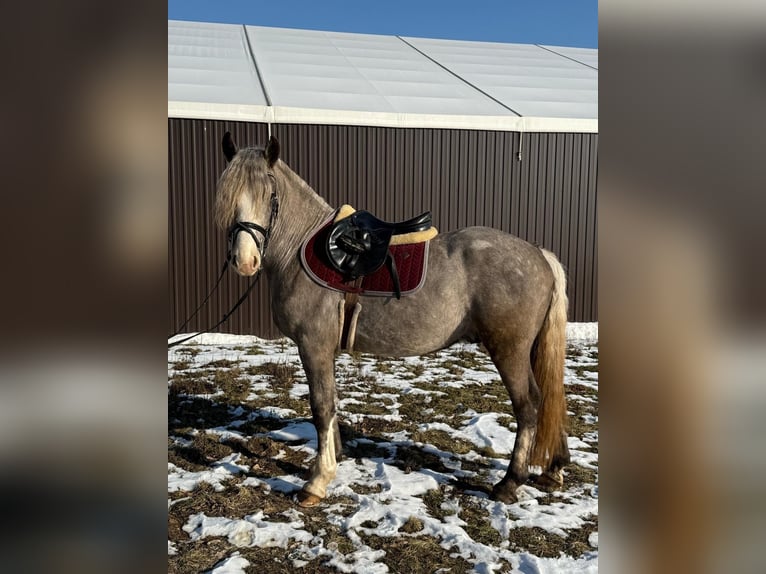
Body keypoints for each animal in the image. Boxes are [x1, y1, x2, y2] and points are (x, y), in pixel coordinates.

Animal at [214, 134, 568, 508]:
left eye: (269, 195)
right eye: (229, 198)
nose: (244, 261)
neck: (301, 249)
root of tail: (538, 253)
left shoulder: (313, 346)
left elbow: (321, 407)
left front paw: (317, 482)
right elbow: (332, 404)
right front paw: (335, 459)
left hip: (509, 350)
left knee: (528, 405)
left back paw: (509, 482)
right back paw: (552, 470)